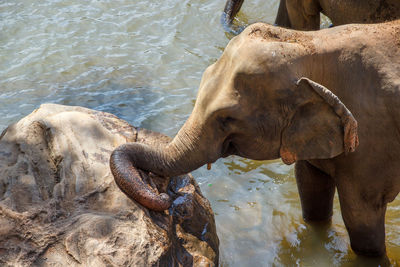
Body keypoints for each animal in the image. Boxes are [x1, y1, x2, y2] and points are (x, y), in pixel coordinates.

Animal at [111, 19, 400, 258]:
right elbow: (310, 189)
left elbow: (361, 220)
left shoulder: (371, 144)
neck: (312, 42)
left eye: (227, 118)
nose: (165, 196)